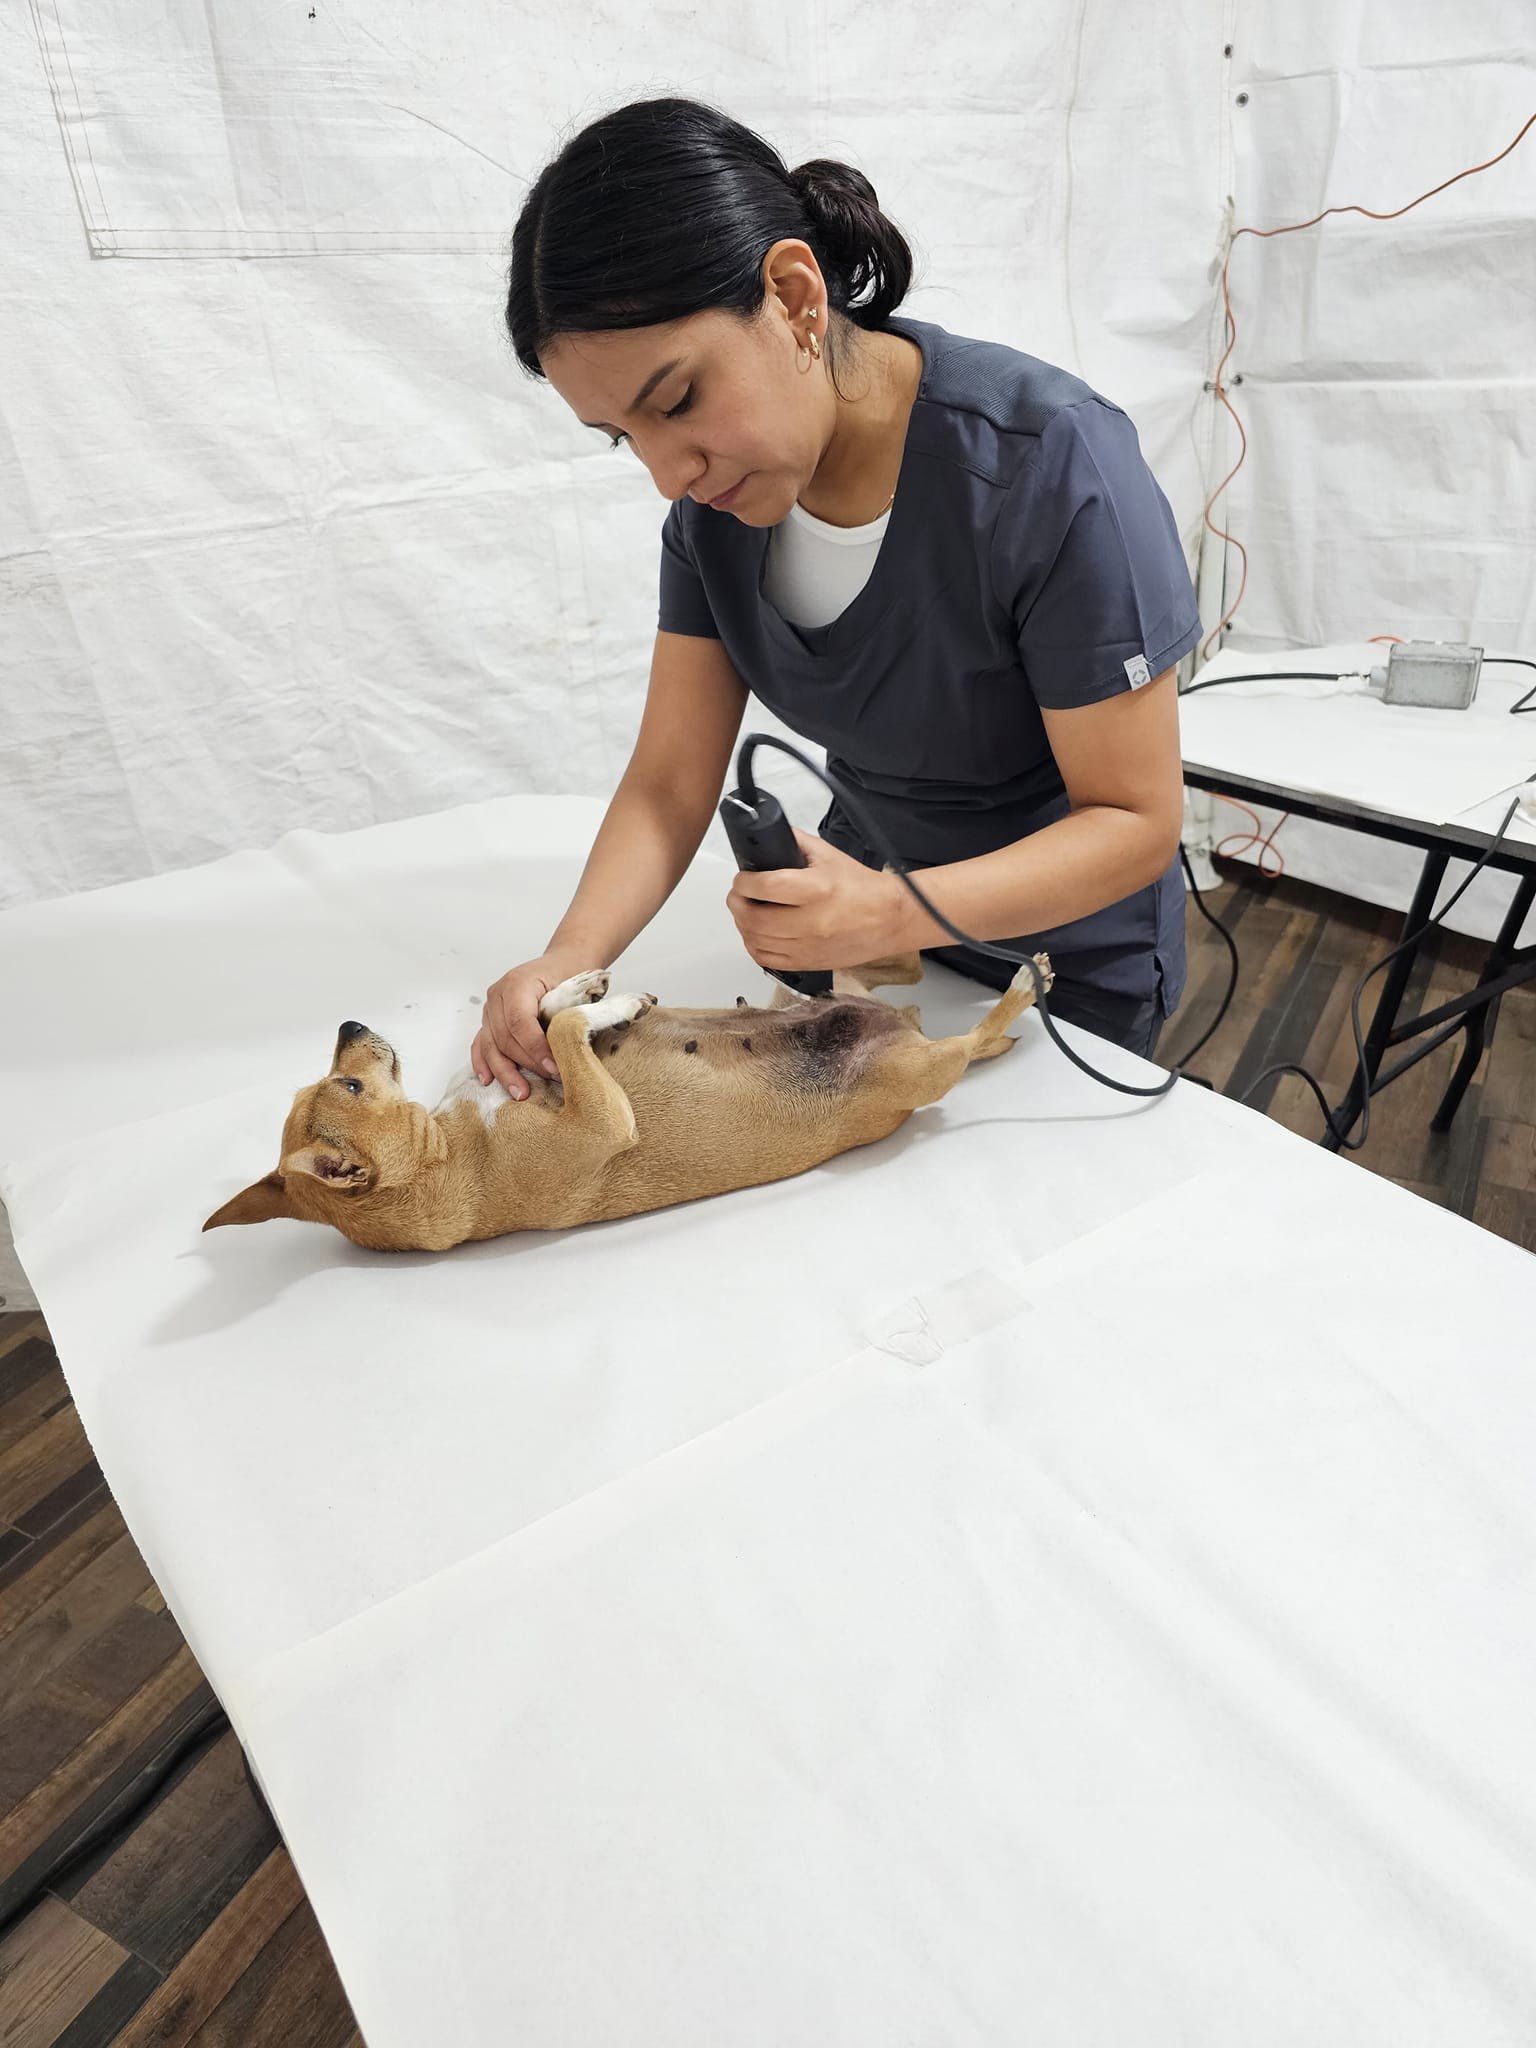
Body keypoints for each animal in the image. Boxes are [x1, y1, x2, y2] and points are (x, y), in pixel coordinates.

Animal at [198, 942, 1056, 1245]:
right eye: (347, 1081)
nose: (348, 1022)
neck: (447, 1149)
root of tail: (906, 1026)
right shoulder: (604, 1117)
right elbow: (571, 1031)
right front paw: (603, 1002)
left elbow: (551, 1019)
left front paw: (575, 983)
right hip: (918, 1073)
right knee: (971, 1039)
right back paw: (1020, 988)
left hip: (855, 979)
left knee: (899, 959)